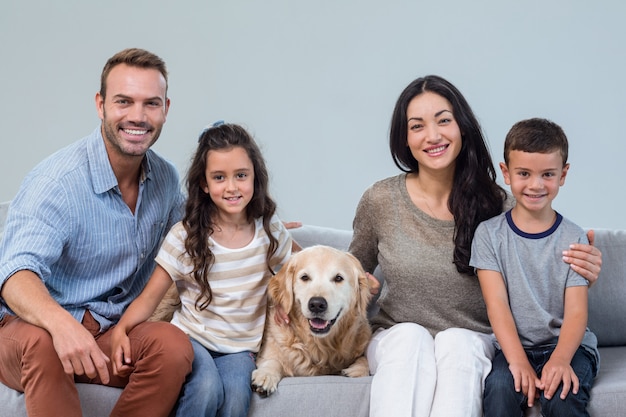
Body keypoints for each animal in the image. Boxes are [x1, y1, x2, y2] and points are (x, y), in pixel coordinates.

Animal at [250, 245, 370, 394]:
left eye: (338, 278)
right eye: (305, 277)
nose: (317, 304)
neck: (318, 344)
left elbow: (365, 360)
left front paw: (356, 370)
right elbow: (273, 360)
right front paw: (266, 375)